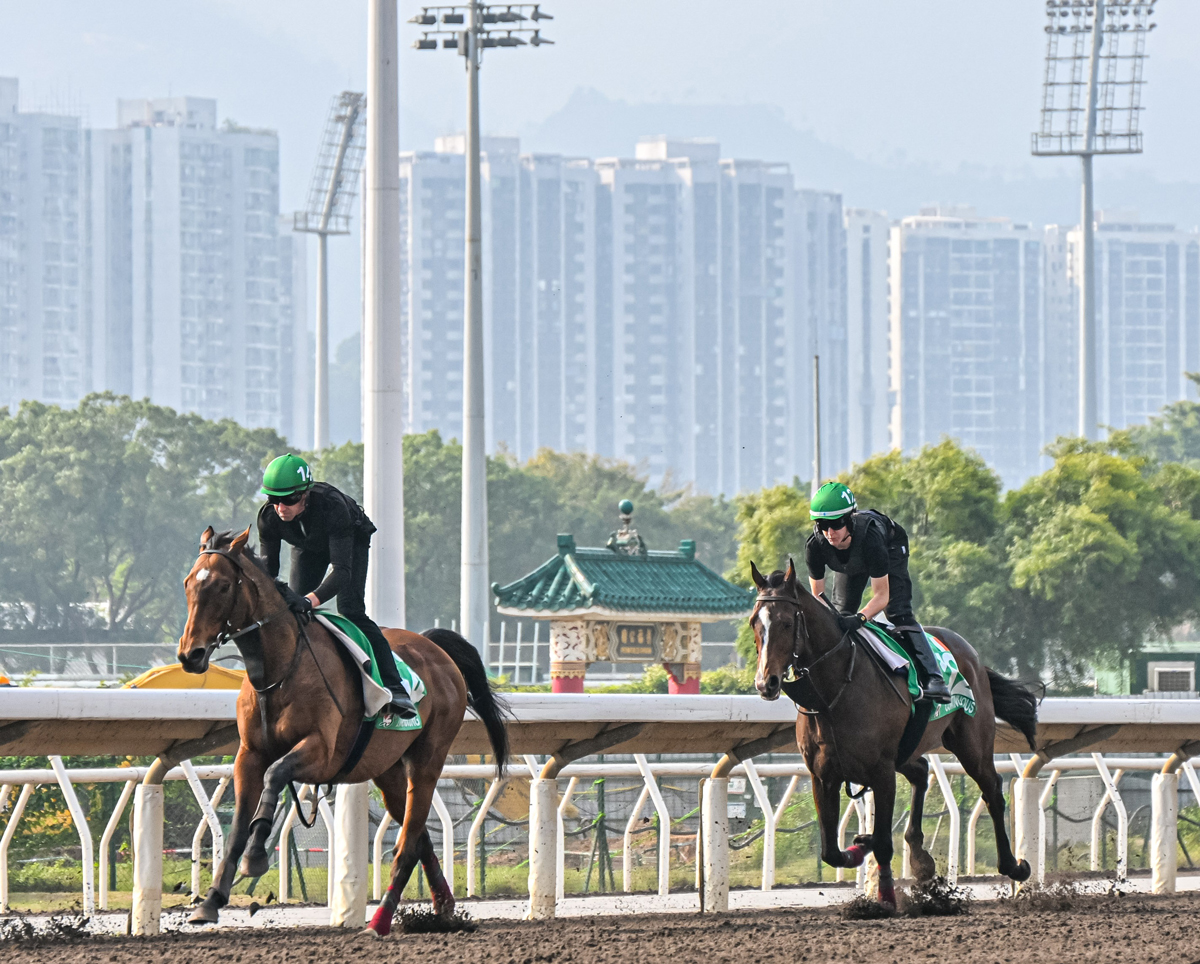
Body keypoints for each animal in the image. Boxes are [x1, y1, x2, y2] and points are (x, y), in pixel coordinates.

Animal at [177, 528, 506, 936]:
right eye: (189, 583)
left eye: (223, 586)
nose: (190, 655)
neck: (280, 670)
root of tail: (434, 648)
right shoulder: (249, 754)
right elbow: (237, 825)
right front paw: (210, 902)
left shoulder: (322, 752)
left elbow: (276, 774)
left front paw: (255, 857)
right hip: (388, 770)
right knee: (421, 839)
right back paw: (443, 911)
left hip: (429, 759)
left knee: (408, 842)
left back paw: (380, 922)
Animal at [744, 561, 1036, 907]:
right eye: (754, 623)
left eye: (787, 623)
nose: (766, 683)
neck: (833, 694)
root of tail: (972, 655)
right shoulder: (822, 775)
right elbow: (831, 851)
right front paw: (860, 846)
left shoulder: (881, 771)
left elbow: (883, 843)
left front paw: (884, 897)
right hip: (907, 748)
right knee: (921, 770)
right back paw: (919, 856)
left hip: (971, 744)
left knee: (991, 789)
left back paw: (1014, 866)